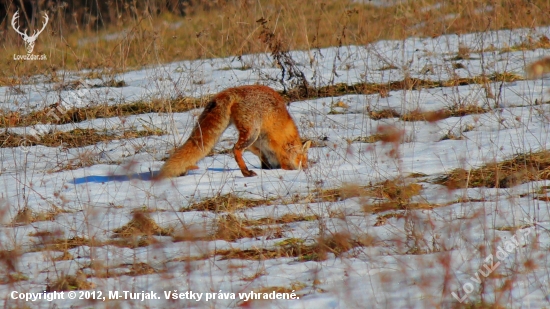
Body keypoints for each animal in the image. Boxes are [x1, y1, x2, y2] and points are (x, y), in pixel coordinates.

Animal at [153, 85, 312, 179]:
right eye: (303, 159)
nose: (306, 169)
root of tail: (231, 91)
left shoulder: (257, 147)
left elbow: (264, 160)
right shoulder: (277, 150)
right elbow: (283, 164)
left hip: (250, 136)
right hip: (252, 132)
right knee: (235, 149)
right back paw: (246, 172)